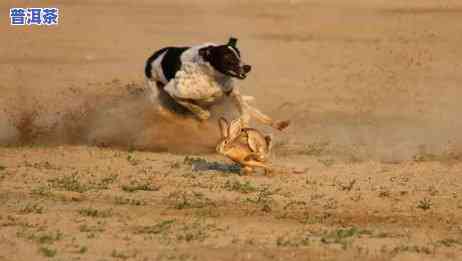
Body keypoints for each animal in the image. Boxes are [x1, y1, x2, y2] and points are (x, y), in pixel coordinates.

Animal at [144, 36, 288, 130]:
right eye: (227, 57)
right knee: (161, 109)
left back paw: (277, 123)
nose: (247, 67)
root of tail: (152, 57)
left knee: (253, 110)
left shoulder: (231, 91)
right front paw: (202, 115)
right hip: (154, 93)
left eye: (239, 55)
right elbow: (193, 106)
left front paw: (244, 122)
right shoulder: (173, 91)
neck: (212, 75)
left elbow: (244, 110)